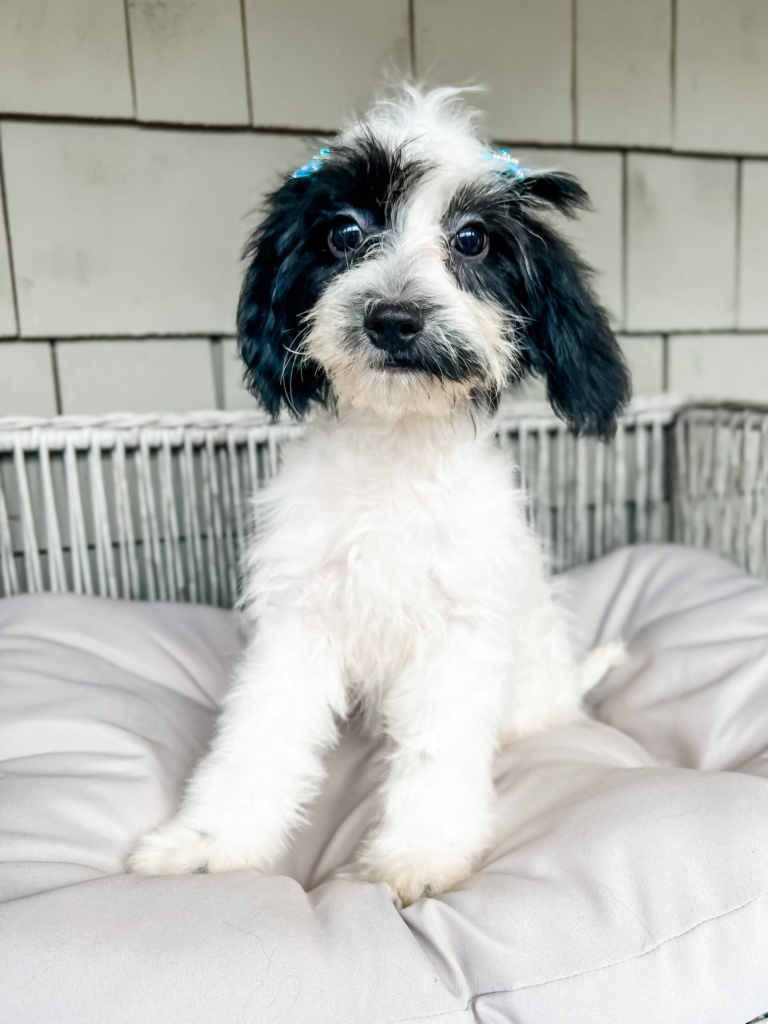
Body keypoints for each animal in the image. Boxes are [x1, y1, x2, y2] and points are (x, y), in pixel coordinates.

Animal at [131, 88, 630, 905]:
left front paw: (422, 856)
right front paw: (206, 845)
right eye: (344, 232)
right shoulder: (298, 619)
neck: (394, 460)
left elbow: (437, 755)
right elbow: (257, 736)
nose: (394, 317)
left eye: (472, 240)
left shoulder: (459, 633)